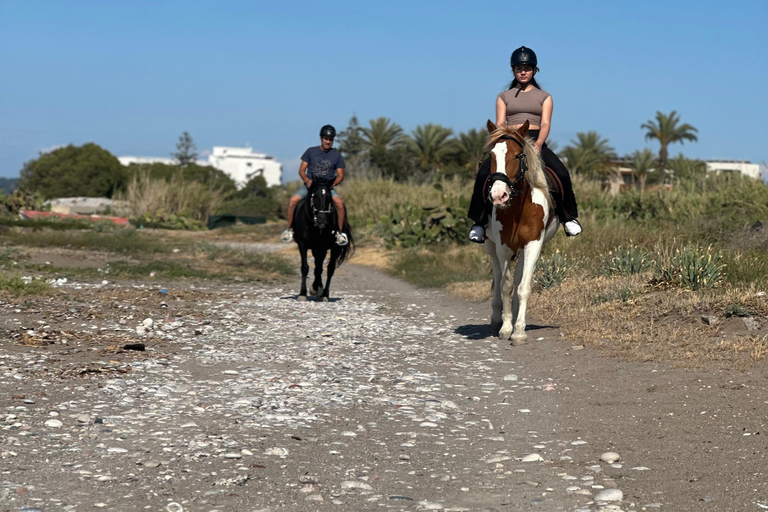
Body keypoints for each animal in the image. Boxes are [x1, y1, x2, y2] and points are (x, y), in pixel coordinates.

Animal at [486, 120, 560, 344]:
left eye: (518, 155)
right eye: (491, 155)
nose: (498, 196)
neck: (518, 206)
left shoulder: (533, 244)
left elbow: (523, 287)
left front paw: (518, 330)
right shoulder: (503, 247)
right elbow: (505, 286)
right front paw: (505, 328)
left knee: (519, 278)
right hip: (490, 246)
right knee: (498, 275)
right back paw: (497, 318)